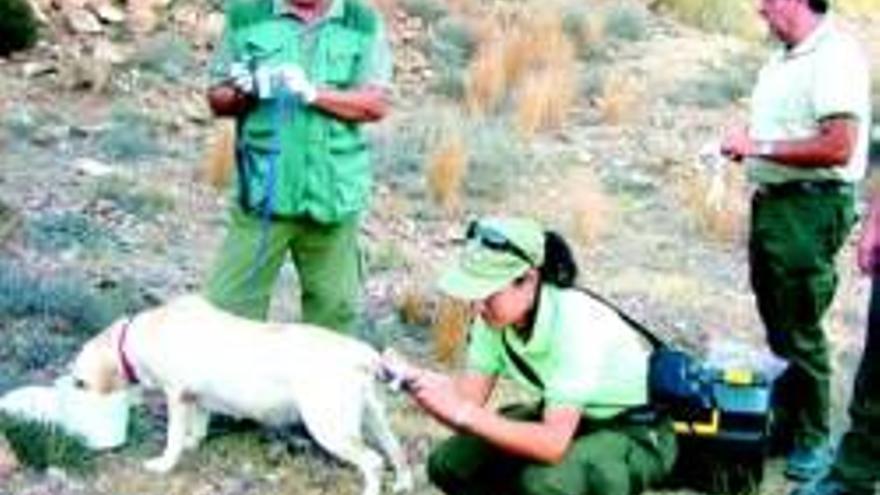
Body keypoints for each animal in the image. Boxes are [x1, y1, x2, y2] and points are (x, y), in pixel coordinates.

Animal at [71, 294, 412, 495]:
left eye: (79, 382)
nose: (74, 388)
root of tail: (363, 353)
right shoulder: (196, 399)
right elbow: (198, 427)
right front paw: (193, 444)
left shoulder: (176, 396)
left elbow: (173, 438)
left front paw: (164, 464)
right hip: (375, 419)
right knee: (398, 453)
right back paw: (404, 484)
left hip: (330, 427)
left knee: (374, 462)